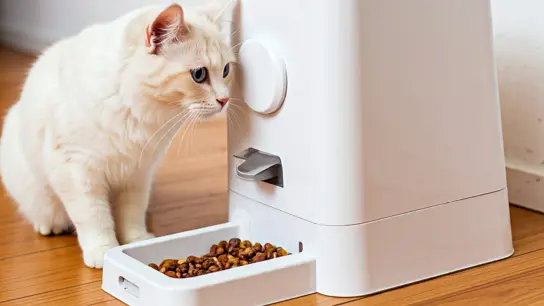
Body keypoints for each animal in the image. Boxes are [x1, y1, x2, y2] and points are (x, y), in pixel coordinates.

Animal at [0, 0, 235, 268]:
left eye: (226, 70)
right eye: (199, 75)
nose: (225, 99)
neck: (135, 108)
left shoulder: (137, 172)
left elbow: (132, 213)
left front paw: (136, 241)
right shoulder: (76, 171)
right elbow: (94, 217)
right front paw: (103, 250)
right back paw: (51, 226)